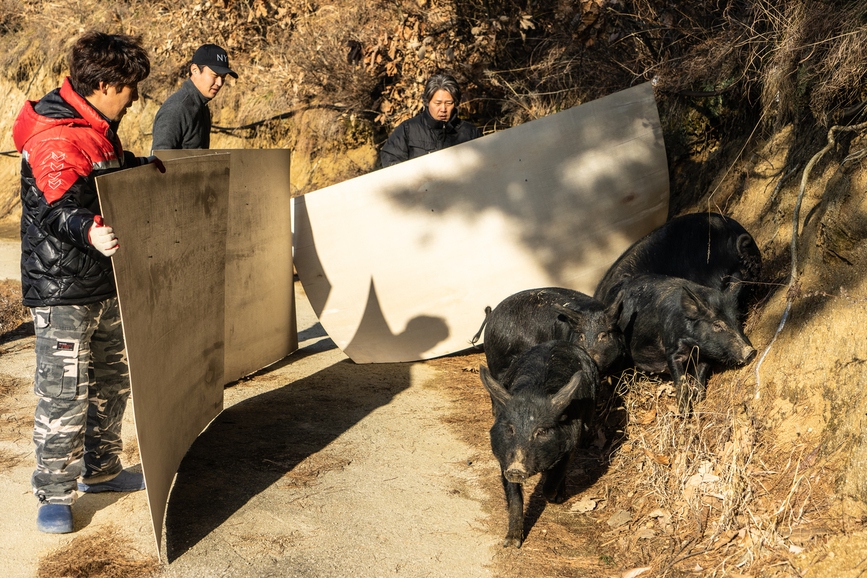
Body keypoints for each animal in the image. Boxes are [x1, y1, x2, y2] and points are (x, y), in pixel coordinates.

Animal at [478, 340, 600, 548]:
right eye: (510, 428)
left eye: (542, 431)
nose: (516, 469)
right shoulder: (503, 457)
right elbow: (515, 497)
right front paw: (511, 543)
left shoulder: (571, 444)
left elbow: (553, 478)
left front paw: (552, 498)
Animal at [612, 274, 756, 412]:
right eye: (717, 325)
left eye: (737, 320)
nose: (751, 352)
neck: (693, 345)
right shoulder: (672, 349)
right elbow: (680, 379)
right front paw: (684, 412)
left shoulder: (705, 355)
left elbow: (701, 374)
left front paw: (698, 398)